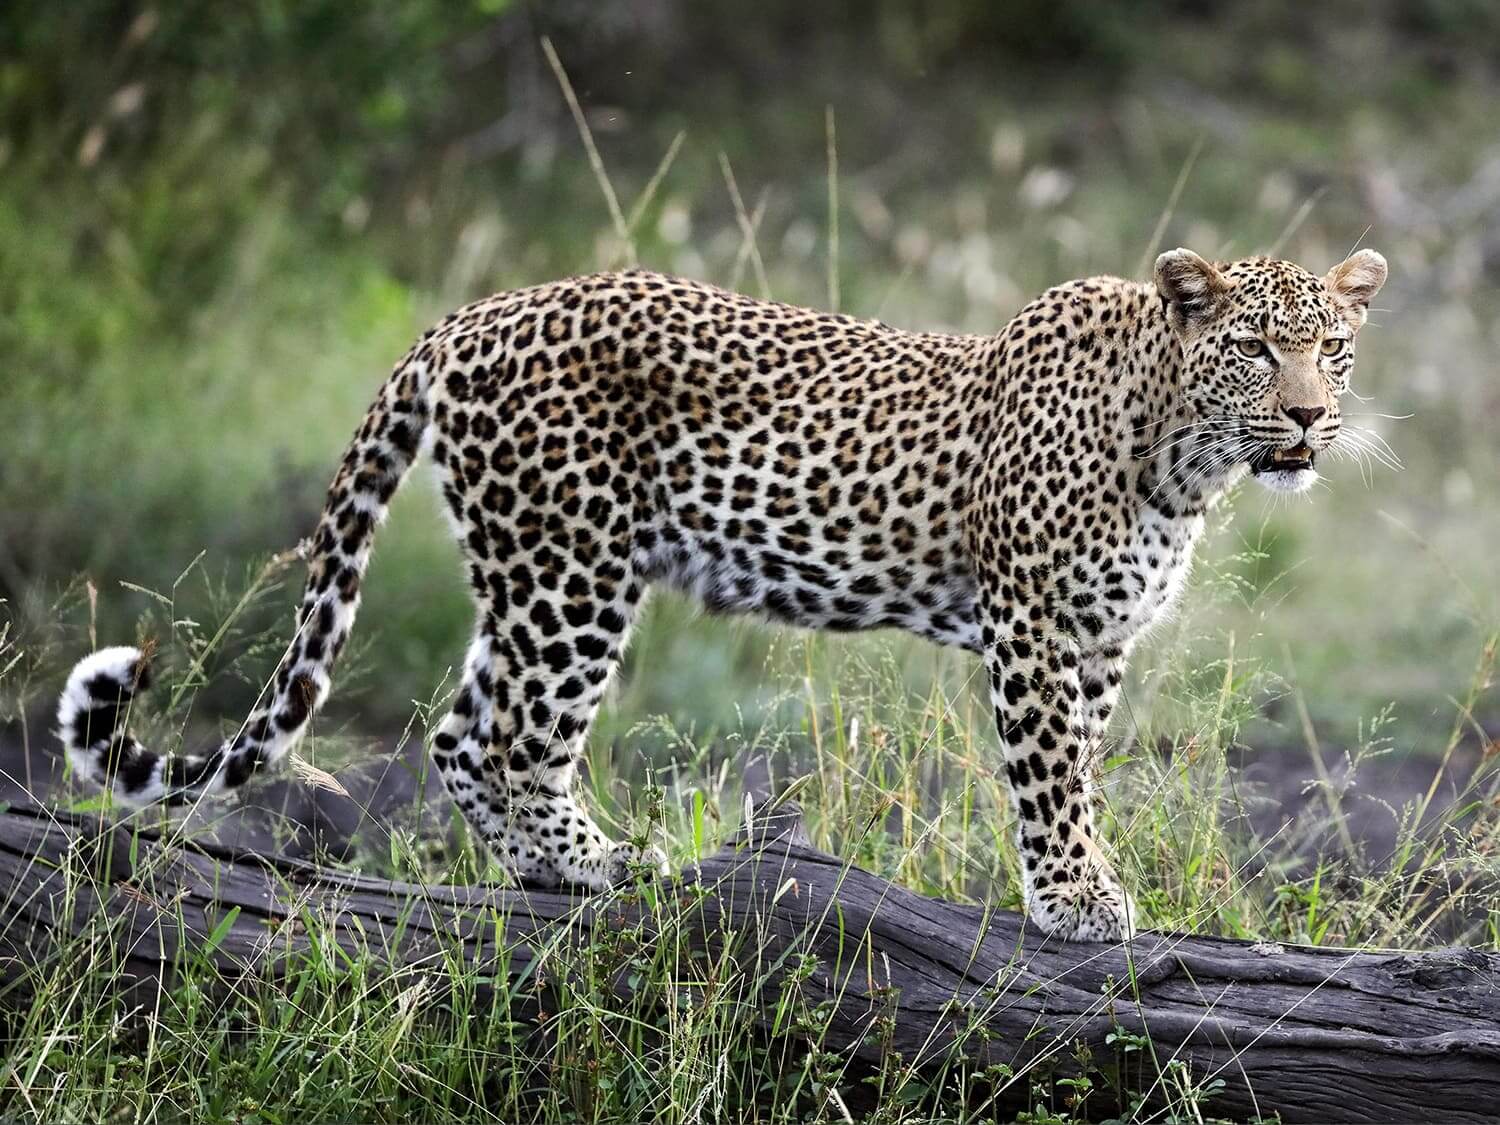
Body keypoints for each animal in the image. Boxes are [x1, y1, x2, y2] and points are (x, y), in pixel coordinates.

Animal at [58, 246, 1387, 941]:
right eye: (1255, 347)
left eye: (1332, 346)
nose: (1310, 417)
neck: (1181, 457)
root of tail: (469, 314)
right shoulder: (1032, 625)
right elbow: (1050, 777)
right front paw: (1074, 901)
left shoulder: (1100, 639)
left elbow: (1085, 771)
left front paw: (1085, 883)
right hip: (573, 570)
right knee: (518, 739)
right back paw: (598, 865)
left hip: (526, 573)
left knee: (458, 729)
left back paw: (544, 868)